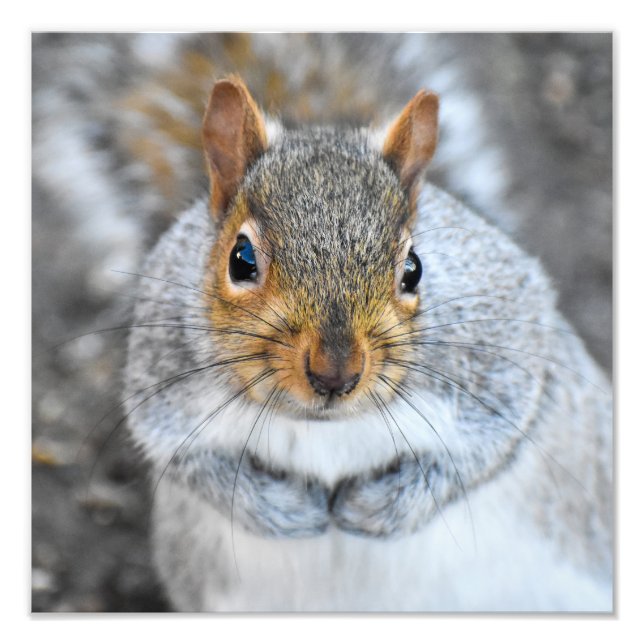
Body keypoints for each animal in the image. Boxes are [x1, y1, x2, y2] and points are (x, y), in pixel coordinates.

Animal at [123, 74, 612, 611]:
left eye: (413, 269)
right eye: (241, 259)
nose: (335, 373)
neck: (323, 427)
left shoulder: (505, 352)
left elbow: (487, 449)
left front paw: (377, 508)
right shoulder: (161, 381)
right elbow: (186, 459)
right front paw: (288, 511)